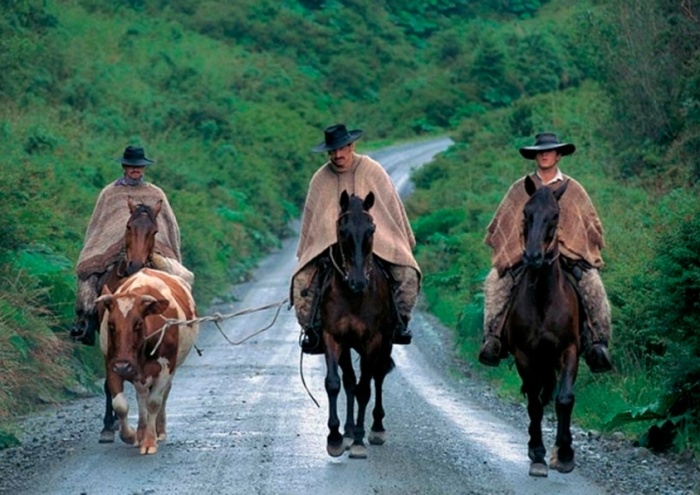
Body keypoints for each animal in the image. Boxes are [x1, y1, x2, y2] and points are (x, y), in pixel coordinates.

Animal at [94, 270, 198, 456]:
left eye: (138, 323)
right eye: (111, 324)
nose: (123, 366)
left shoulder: (165, 368)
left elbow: (154, 402)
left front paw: (149, 441)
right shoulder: (111, 365)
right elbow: (120, 405)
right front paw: (131, 436)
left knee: (162, 395)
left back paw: (159, 431)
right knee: (141, 395)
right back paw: (141, 432)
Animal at [320, 191, 396, 462]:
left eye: (371, 229)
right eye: (342, 229)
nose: (358, 282)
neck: (352, 297)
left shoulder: (372, 340)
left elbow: (365, 388)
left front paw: (360, 442)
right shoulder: (333, 337)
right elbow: (334, 383)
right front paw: (335, 438)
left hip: (385, 342)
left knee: (378, 377)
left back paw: (376, 428)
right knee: (350, 380)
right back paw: (349, 430)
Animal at [504, 176, 580, 478]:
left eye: (555, 215)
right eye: (526, 213)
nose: (534, 257)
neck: (544, 300)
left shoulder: (569, 349)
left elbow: (564, 398)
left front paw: (565, 452)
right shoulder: (523, 353)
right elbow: (535, 402)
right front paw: (537, 453)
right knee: (535, 394)